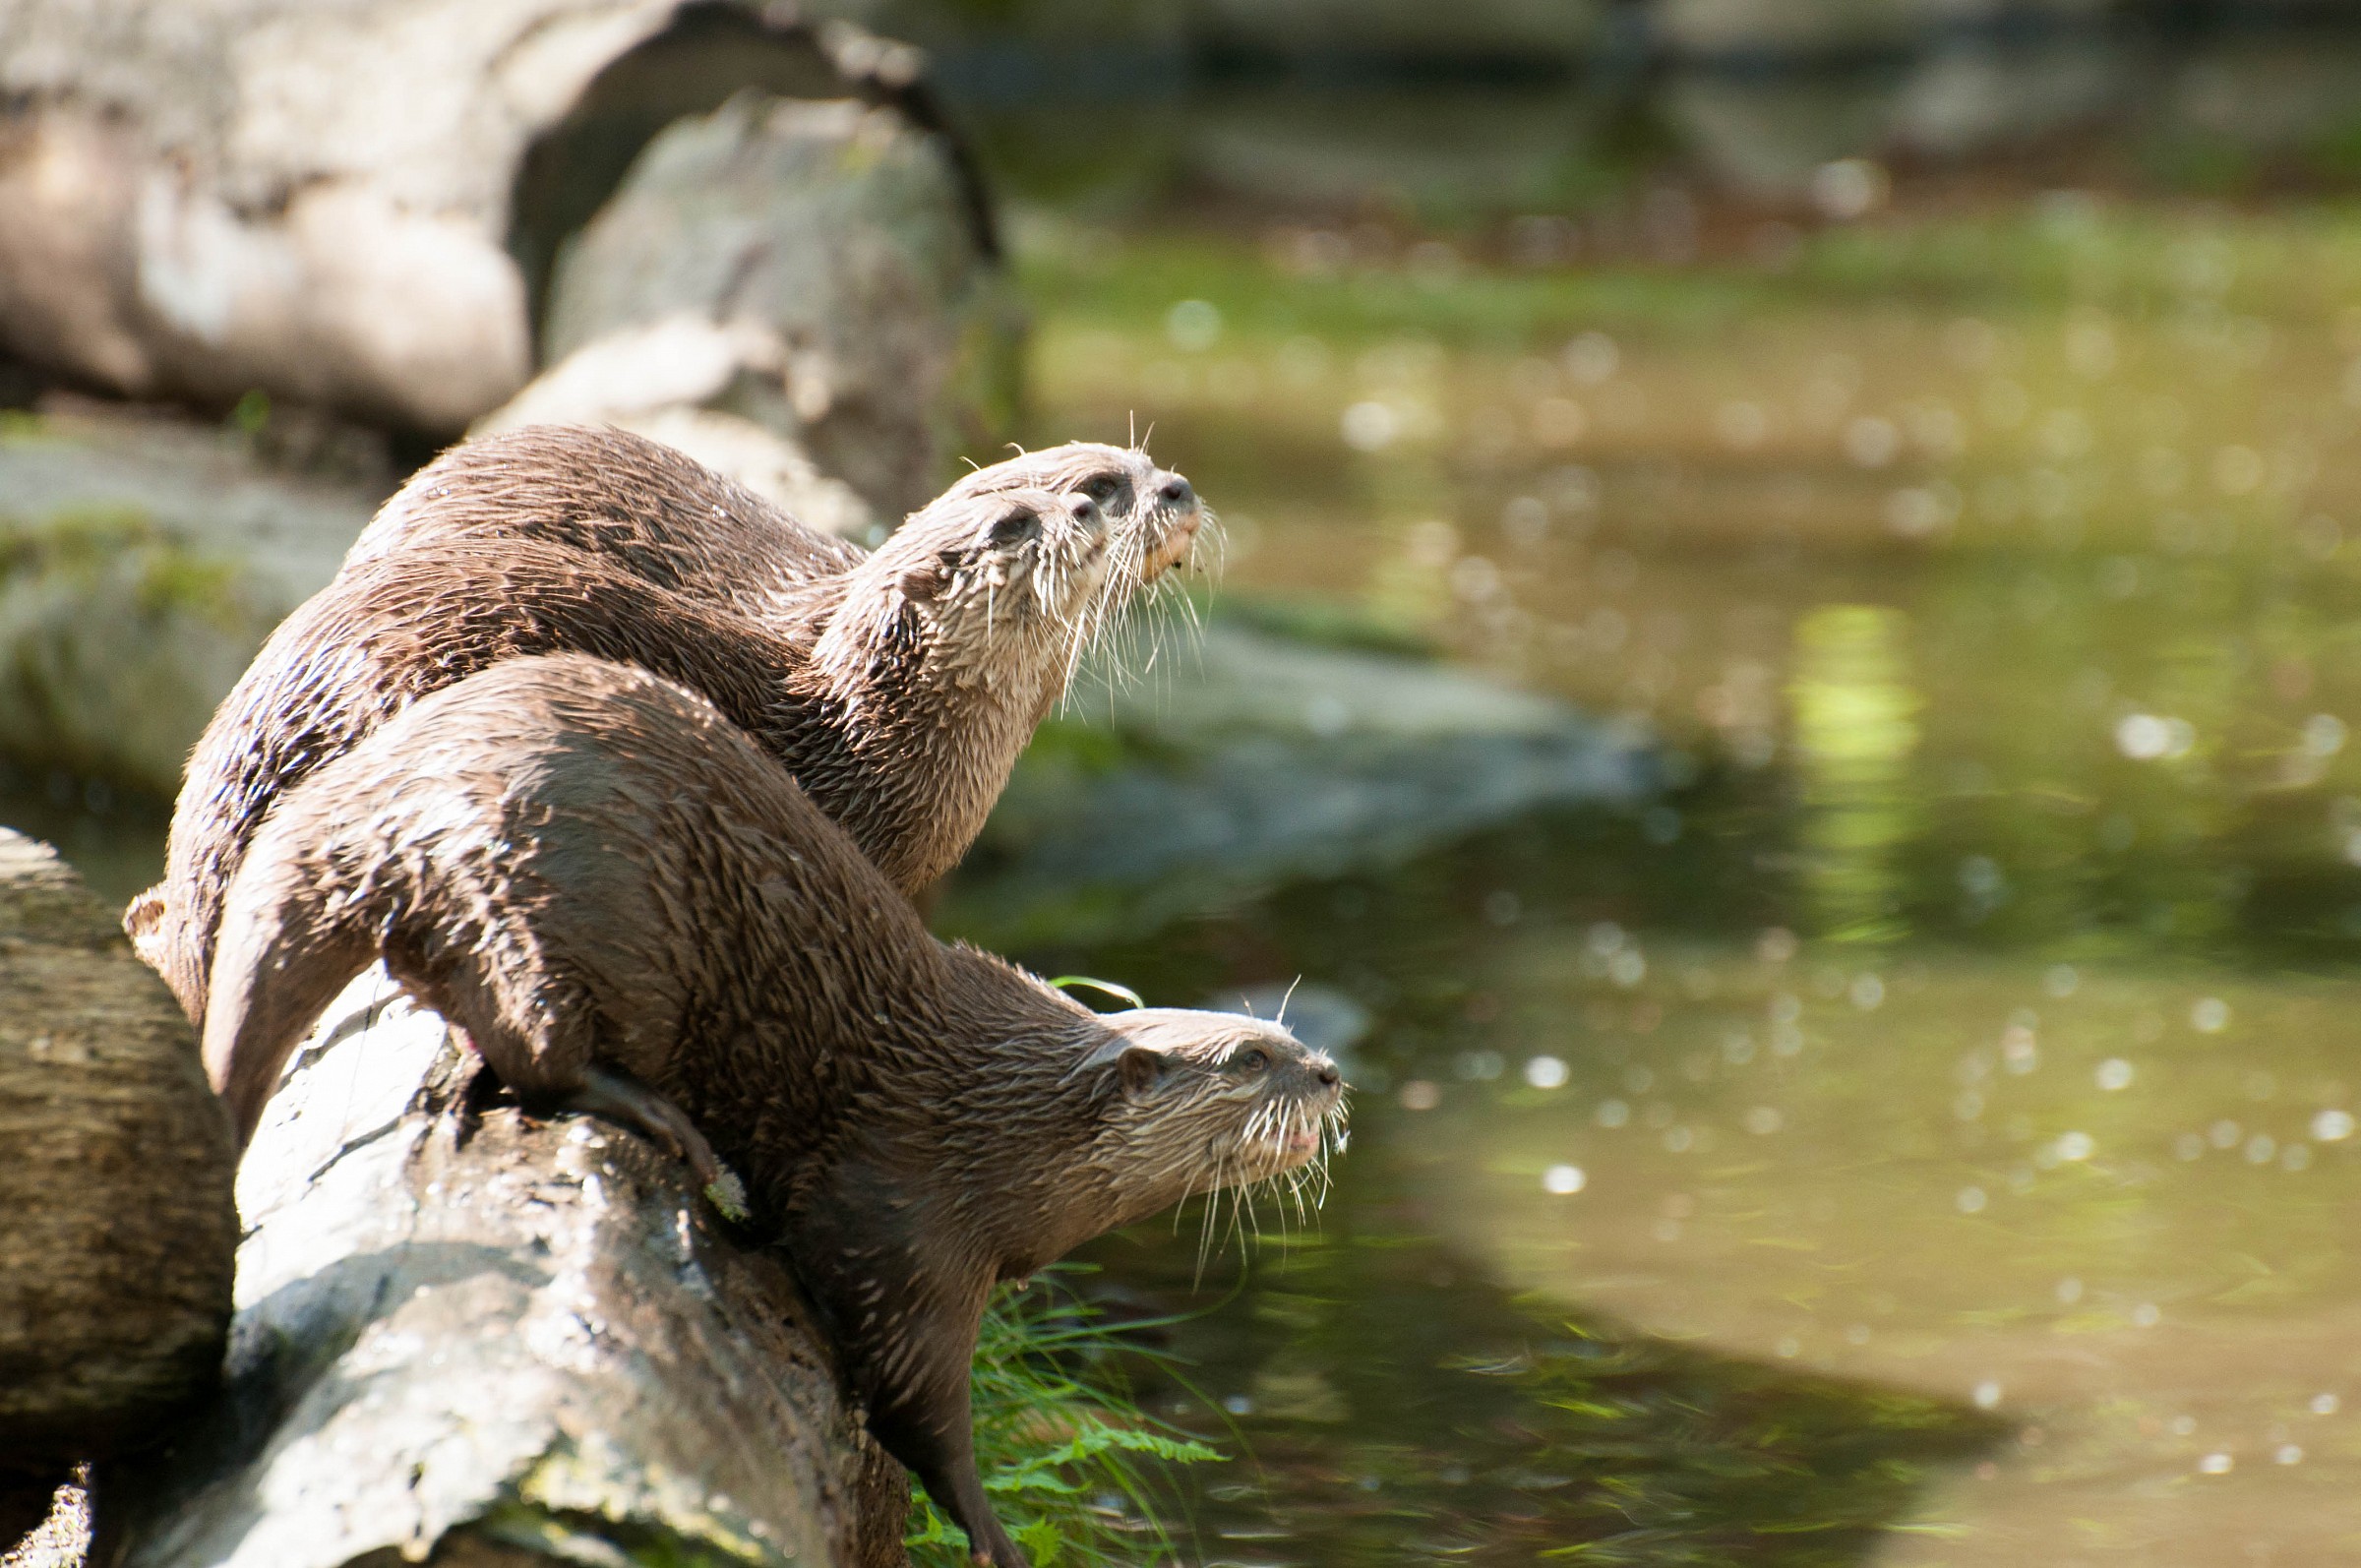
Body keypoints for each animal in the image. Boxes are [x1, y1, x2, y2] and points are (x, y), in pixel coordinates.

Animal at [203, 652, 1346, 1568]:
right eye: (1250, 1057)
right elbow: (917, 1401)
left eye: (1284, 1033)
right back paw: (659, 1121)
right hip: (554, 895)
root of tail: (383, 799)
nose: (1331, 1072)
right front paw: (994, 1533)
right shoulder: (903, 1217)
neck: (999, 1127)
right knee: (536, 1049)